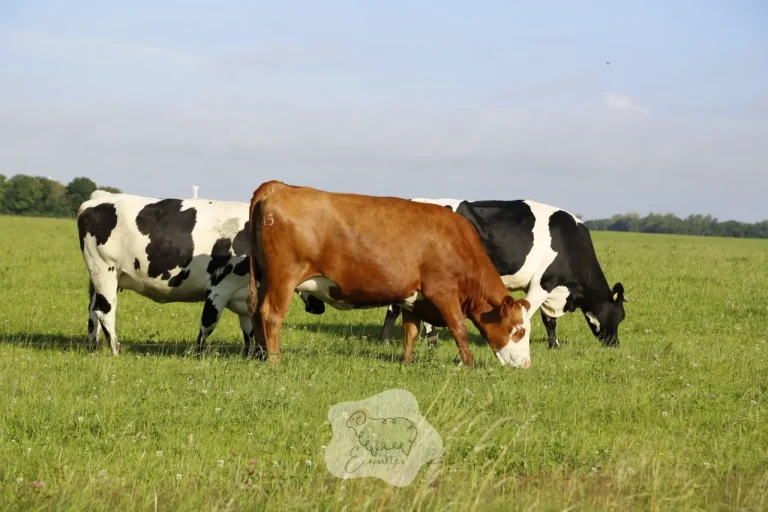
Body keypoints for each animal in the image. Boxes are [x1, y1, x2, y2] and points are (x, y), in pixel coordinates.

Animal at [77, 190, 324, 355]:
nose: (319, 308)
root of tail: (101, 197)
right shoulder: (221, 286)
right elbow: (209, 323)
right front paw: (197, 353)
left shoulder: (243, 293)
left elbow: (249, 328)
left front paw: (251, 355)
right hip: (105, 271)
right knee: (104, 311)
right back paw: (115, 349)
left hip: (103, 278)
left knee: (92, 310)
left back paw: (93, 346)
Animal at [246, 181, 533, 368]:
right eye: (518, 329)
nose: (526, 365)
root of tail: (279, 186)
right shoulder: (443, 291)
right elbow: (459, 329)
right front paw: (469, 364)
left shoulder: (413, 297)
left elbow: (410, 331)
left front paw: (407, 362)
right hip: (283, 278)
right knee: (271, 315)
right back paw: (275, 362)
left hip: (264, 278)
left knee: (257, 313)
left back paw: (259, 355)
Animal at [380, 198, 628, 348]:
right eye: (621, 316)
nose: (615, 345)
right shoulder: (543, 283)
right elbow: (529, 313)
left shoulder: (548, 286)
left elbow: (549, 321)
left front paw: (553, 345)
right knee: (394, 307)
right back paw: (388, 340)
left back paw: (427, 340)